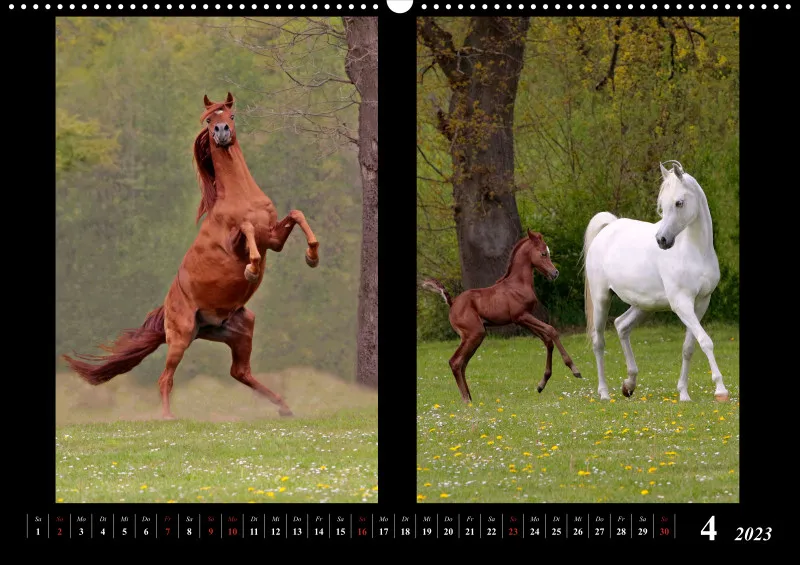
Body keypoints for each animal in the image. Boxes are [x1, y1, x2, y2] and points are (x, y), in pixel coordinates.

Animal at [62, 92, 321, 419]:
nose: (221, 132)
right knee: (166, 378)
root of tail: (166, 309)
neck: (241, 197)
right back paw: (168, 418)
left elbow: (297, 214)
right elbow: (247, 228)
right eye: (209, 119)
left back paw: (284, 407)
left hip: (240, 328)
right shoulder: (238, 239)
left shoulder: (272, 239)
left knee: (240, 372)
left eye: (231, 116)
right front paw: (251, 268)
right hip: (181, 337)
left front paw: (312, 256)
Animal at [421, 230, 582, 403]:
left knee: (462, 363)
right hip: (474, 333)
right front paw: (574, 369)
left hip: (475, 336)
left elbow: (547, 340)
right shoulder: (522, 316)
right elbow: (552, 330)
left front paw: (541, 384)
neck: (518, 284)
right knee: (455, 362)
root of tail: (452, 302)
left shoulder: (522, 320)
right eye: (543, 253)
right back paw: (466, 399)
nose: (555, 273)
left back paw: (470, 399)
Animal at [582, 160, 729, 403]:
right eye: (662, 205)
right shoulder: (682, 304)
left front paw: (684, 393)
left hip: (643, 305)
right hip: (602, 299)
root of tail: (609, 228)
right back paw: (604, 392)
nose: (662, 240)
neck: (694, 251)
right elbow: (705, 340)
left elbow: (689, 347)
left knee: (621, 325)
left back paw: (629, 384)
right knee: (598, 341)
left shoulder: (700, 303)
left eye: (679, 202)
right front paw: (720, 389)